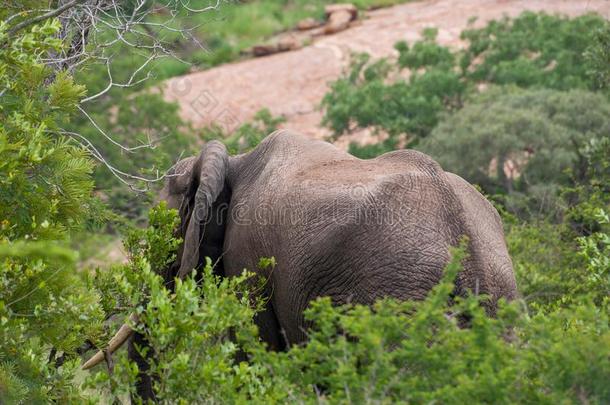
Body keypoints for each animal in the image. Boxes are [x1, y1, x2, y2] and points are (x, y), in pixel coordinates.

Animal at [83, 129, 516, 398]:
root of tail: (463, 237)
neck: (235, 160)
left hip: (401, 295)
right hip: (495, 296)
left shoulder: (248, 253)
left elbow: (254, 346)